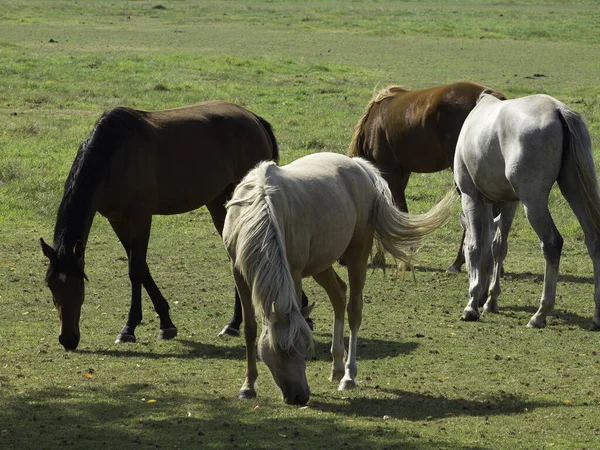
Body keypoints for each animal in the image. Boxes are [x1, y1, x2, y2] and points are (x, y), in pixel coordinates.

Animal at [38, 100, 300, 350]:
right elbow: (140, 267)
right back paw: (235, 322)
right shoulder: (117, 219)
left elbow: (135, 268)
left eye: (78, 285)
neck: (114, 156)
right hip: (219, 203)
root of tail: (254, 119)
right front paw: (165, 323)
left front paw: (129, 328)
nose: (68, 339)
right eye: (51, 286)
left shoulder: (141, 216)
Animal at [224, 152, 454, 404]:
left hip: (357, 256)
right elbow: (250, 329)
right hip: (321, 265)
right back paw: (336, 367)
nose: (300, 396)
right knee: (339, 295)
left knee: (354, 309)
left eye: (305, 347)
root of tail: (360, 167)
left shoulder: (294, 273)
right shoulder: (239, 273)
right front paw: (248, 386)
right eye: (285, 349)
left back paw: (348, 376)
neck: (259, 207)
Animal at [346, 81, 506, 270]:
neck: (372, 124)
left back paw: (459, 262)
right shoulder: (402, 174)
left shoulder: (390, 173)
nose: (342, 261)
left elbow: (396, 210)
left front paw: (403, 257)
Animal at [454, 93, 600, 328]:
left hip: (533, 202)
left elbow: (477, 245)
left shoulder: (471, 198)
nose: (482, 298)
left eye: (464, 252)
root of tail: (558, 110)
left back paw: (540, 314)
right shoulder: (506, 203)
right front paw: (490, 300)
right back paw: (596, 316)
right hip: (573, 189)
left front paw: (472, 304)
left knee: (552, 243)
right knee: (594, 240)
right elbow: (496, 247)